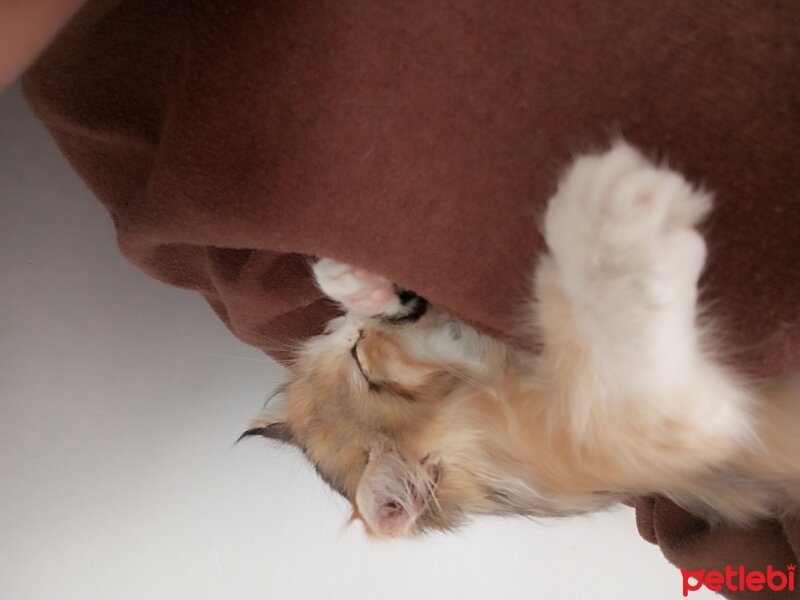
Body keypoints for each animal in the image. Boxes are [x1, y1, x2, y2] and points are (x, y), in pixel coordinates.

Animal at [241, 142, 796, 540]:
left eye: (353, 356)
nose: (347, 332)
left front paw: (356, 283)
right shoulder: (647, 431)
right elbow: (619, 362)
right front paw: (609, 218)